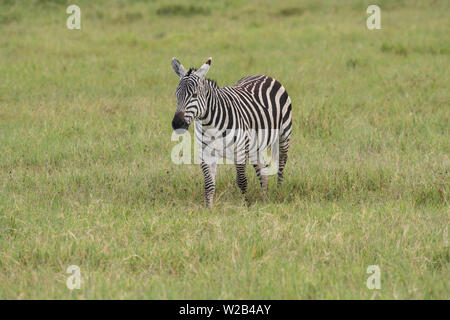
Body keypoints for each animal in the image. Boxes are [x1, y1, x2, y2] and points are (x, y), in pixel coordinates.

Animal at [170, 57, 292, 208]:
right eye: (177, 94)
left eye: (194, 95)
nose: (177, 124)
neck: (209, 125)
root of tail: (263, 75)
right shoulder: (206, 153)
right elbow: (209, 184)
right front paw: (208, 209)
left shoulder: (239, 151)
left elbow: (241, 181)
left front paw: (246, 206)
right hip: (254, 145)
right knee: (263, 168)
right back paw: (265, 198)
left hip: (284, 135)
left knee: (281, 162)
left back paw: (278, 190)